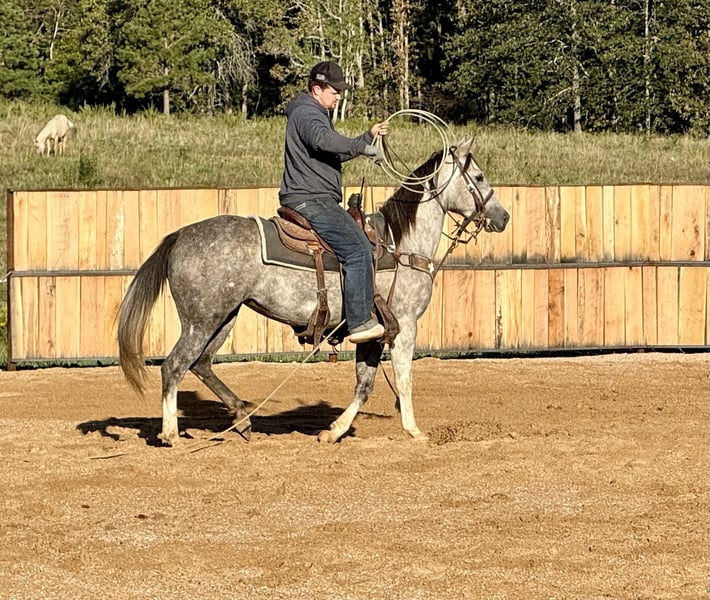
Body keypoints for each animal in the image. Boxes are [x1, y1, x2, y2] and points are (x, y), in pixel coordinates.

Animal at [117, 141, 510, 446]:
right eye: (478, 177)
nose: (503, 216)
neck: (400, 245)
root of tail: (180, 235)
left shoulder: (373, 333)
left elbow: (364, 384)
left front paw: (333, 431)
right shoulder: (405, 325)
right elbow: (403, 379)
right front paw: (414, 431)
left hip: (224, 317)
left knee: (201, 364)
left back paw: (242, 417)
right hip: (201, 321)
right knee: (174, 366)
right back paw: (171, 433)